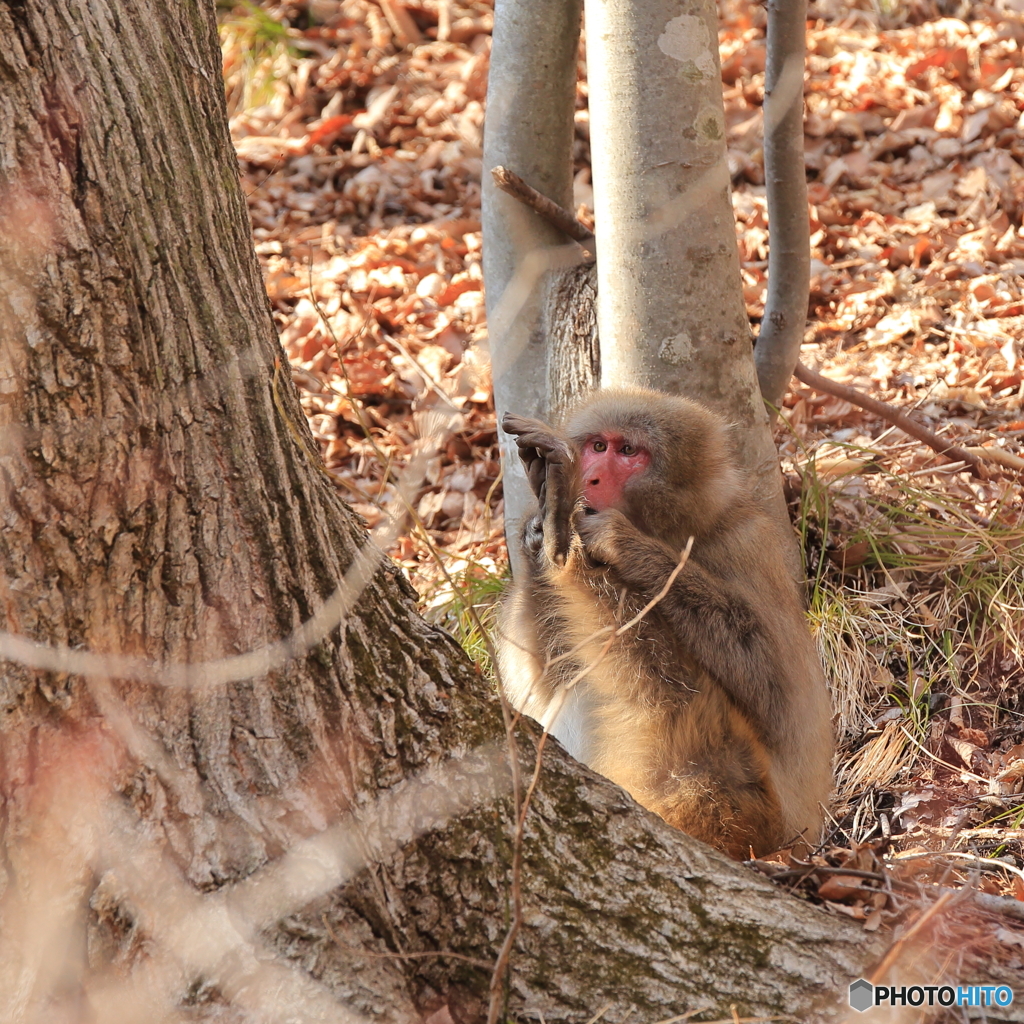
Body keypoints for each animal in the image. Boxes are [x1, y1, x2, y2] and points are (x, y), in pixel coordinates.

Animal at [493, 387, 831, 860]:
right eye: (598, 445)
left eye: (628, 451)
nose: (590, 477)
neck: (675, 528)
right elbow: (543, 686)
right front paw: (537, 529)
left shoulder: (746, 542)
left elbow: (778, 694)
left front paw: (620, 542)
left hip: (762, 815)